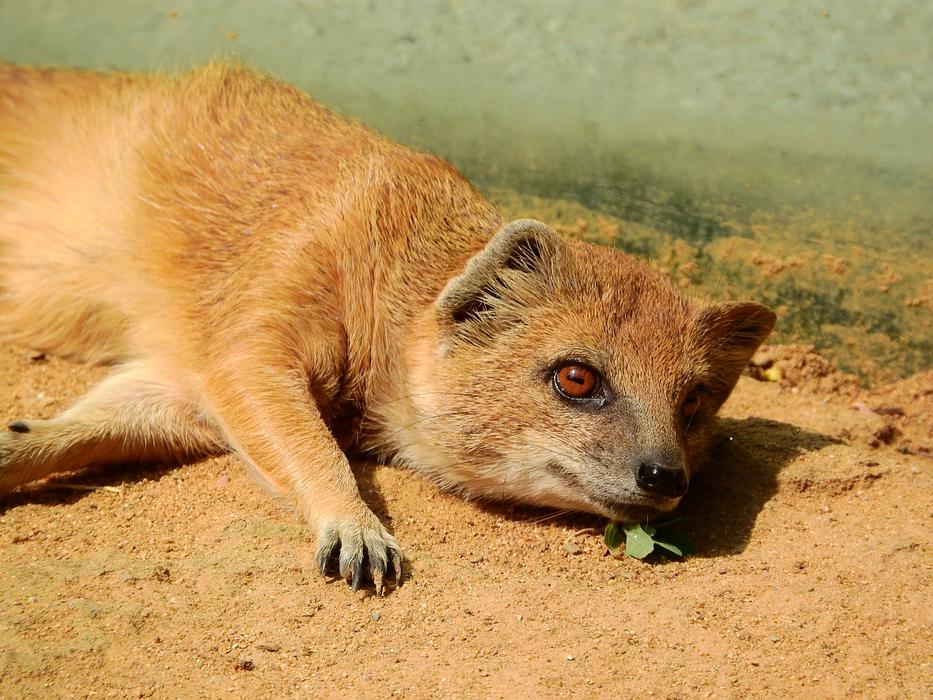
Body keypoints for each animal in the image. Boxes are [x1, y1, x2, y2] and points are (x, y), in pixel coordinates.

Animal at [0, 62, 775, 592]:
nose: (664, 474)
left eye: (694, 403)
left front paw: (18, 446)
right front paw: (356, 529)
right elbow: (300, 431)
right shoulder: (256, 323)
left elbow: (96, 424)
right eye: (576, 377)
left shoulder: (181, 381)